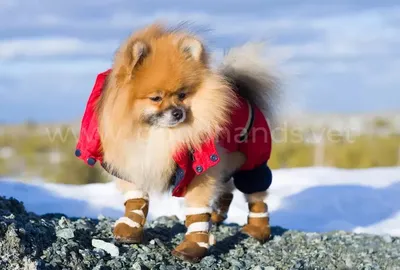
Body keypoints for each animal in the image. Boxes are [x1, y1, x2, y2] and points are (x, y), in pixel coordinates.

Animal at [76, 22, 282, 262]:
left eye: (182, 95)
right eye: (156, 98)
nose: (177, 113)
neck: (158, 134)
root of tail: (243, 92)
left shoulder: (200, 169)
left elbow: (197, 211)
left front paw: (193, 246)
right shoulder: (134, 160)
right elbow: (136, 199)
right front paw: (129, 230)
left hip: (252, 162)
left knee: (256, 195)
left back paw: (257, 229)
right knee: (227, 189)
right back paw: (218, 216)